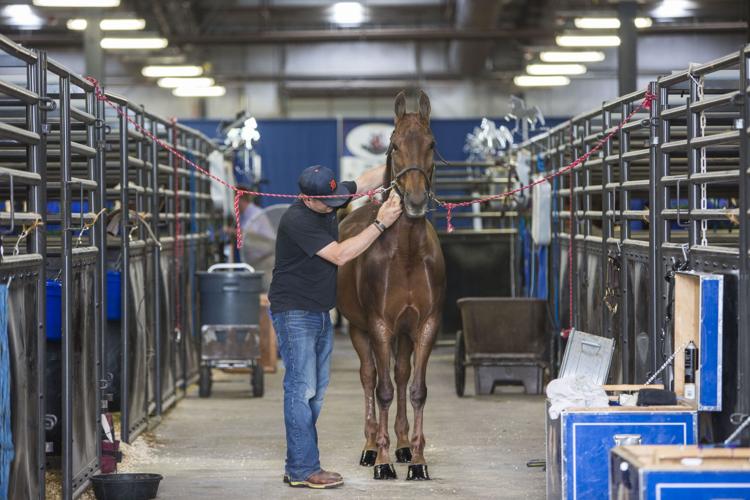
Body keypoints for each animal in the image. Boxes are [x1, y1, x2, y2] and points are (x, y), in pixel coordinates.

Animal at [336, 91, 446, 480]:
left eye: (431, 143)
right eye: (394, 144)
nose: (414, 202)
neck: (407, 254)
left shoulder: (425, 325)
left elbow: (416, 390)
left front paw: (417, 460)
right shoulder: (380, 326)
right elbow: (382, 390)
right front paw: (382, 462)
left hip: (403, 334)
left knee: (400, 375)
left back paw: (400, 445)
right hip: (360, 330)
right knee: (370, 378)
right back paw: (372, 447)